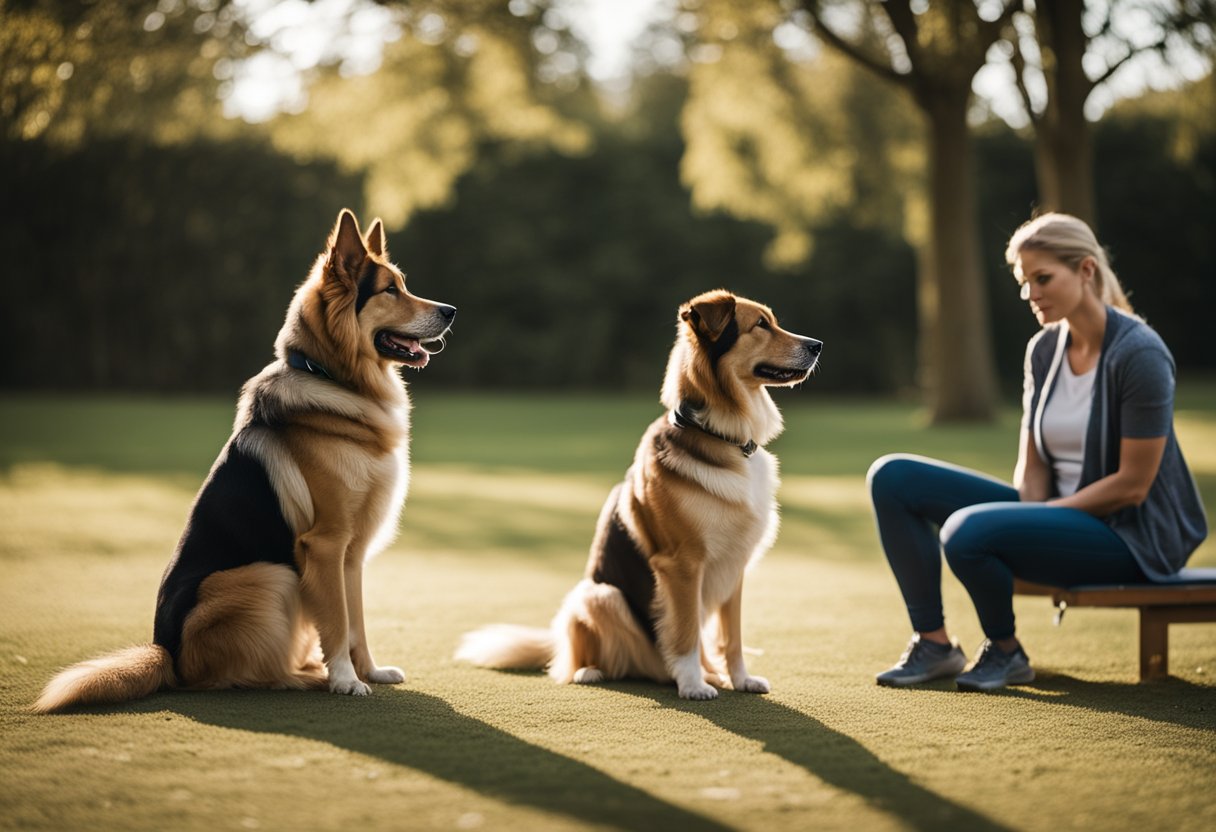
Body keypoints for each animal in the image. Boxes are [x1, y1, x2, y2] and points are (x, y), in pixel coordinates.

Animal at [38, 211, 457, 710]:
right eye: (390, 290)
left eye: (402, 285)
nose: (452, 311)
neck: (333, 379)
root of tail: (167, 655)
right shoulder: (325, 544)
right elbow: (337, 623)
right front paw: (345, 679)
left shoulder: (351, 556)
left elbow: (356, 621)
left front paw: (369, 671)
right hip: (271, 575)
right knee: (244, 677)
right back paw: (306, 677)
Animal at [457, 289, 817, 700]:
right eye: (760, 325)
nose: (818, 346)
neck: (719, 436)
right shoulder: (681, 564)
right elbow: (686, 633)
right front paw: (692, 685)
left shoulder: (734, 567)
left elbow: (732, 637)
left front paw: (740, 679)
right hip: (598, 596)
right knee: (581, 660)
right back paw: (594, 671)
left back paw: (713, 675)